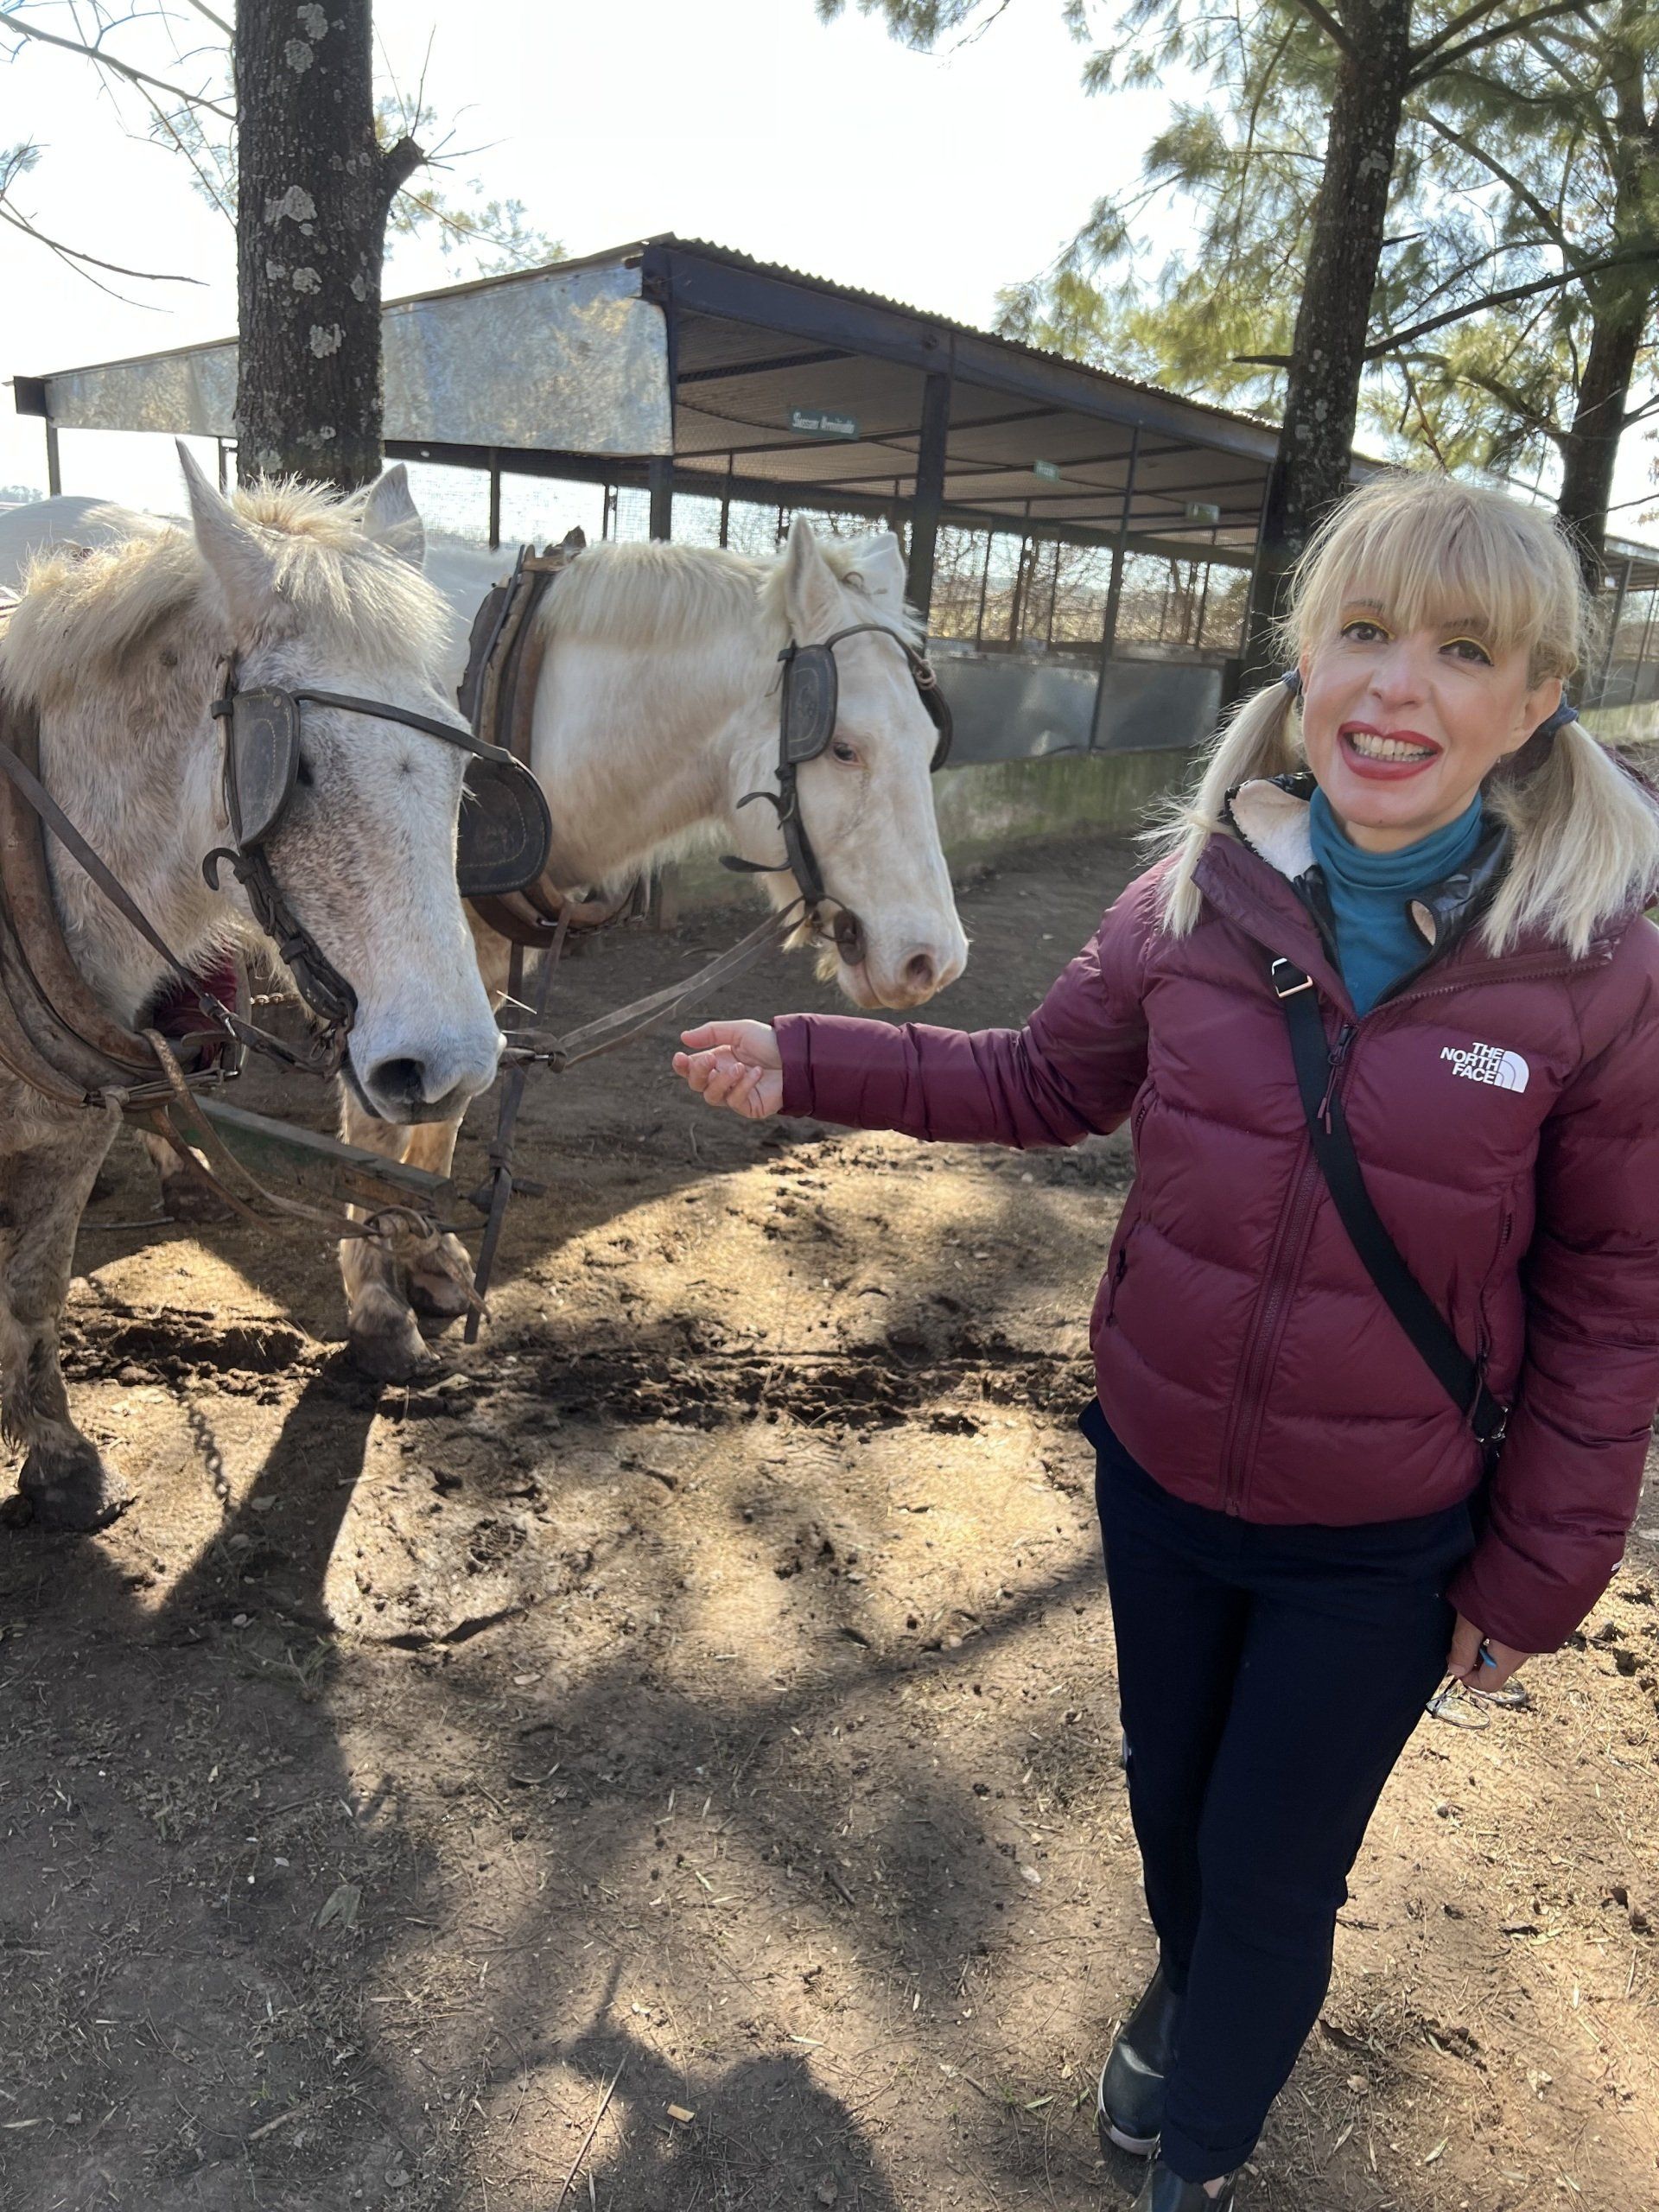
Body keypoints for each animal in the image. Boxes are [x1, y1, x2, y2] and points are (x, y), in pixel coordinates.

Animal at [0, 453, 503, 1529]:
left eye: (459, 750)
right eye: (295, 765)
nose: (448, 1064)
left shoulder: (68, 1135)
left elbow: (34, 1287)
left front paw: (57, 1455)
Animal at [336, 517, 970, 1380]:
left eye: (931, 741)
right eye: (843, 748)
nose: (932, 959)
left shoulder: (474, 968)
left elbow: (442, 1115)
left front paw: (429, 1261)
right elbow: (379, 1131)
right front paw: (378, 1307)